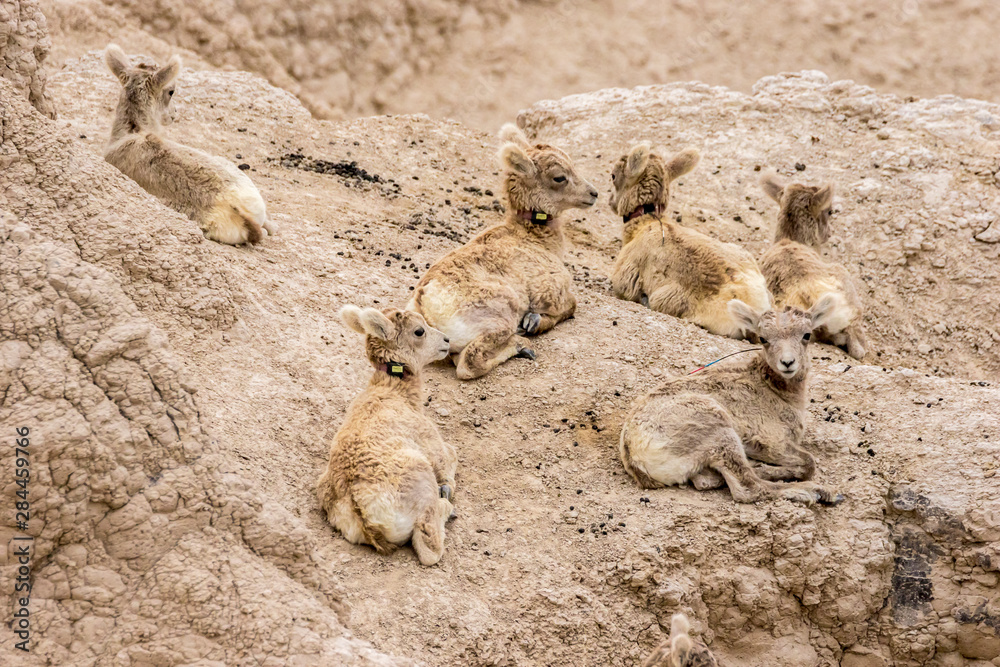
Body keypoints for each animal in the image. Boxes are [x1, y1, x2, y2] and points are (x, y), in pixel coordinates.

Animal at [316, 305, 457, 566]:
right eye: (419, 331)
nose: (446, 341)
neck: (394, 391)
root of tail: (362, 512)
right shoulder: (433, 446)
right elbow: (451, 456)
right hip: (421, 478)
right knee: (429, 547)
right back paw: (446, 508)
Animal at [407, 124, 599, 379]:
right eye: (559, 177)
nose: (593, 194)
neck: (535, 240)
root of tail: (424, 302)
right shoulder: (550, 292)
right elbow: (571, 305)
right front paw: (532, 323)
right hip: (499, 318)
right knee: (469, 363)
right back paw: (522, 345)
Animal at [619, 297, 844, 505]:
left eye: (806, 335)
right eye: (763, 339)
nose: (787, 363)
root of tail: (634, 454)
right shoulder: (773, 441)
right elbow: (809, 463)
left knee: (706, 481)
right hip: (719, 431)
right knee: (747, 487)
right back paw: (817, 492)